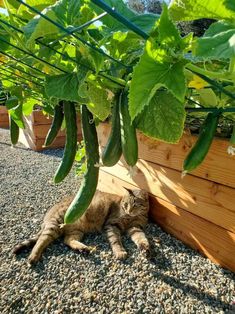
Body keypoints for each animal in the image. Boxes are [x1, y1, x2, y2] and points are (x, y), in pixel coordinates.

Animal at [13, 188, 149, 264]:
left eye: (135, 205)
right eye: (125, 204)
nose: (128, 210)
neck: (134, 216)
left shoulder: (135, 227)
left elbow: (141, 238)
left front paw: (146, 248)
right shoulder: (111, 224)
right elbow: (115, 240)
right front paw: (120, 251)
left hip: (76, 231)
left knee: (67, 240)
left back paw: (82, 248)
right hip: (56, 224)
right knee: (41, 240)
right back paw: (33, 257)